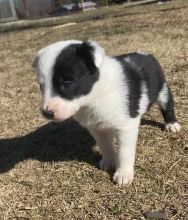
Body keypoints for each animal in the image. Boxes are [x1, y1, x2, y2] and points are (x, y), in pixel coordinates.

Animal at [32, 40, 181, 186]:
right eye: (41, 85)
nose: (46, 113)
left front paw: (123, 174)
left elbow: (124, 152)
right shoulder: (96, 128)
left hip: (162, 90)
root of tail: (144, 54)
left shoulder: (126, 127)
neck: (94, 97)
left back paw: (172, 124)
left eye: (67, 84)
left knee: (167, 105)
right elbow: (105, 146)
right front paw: (109, 161)